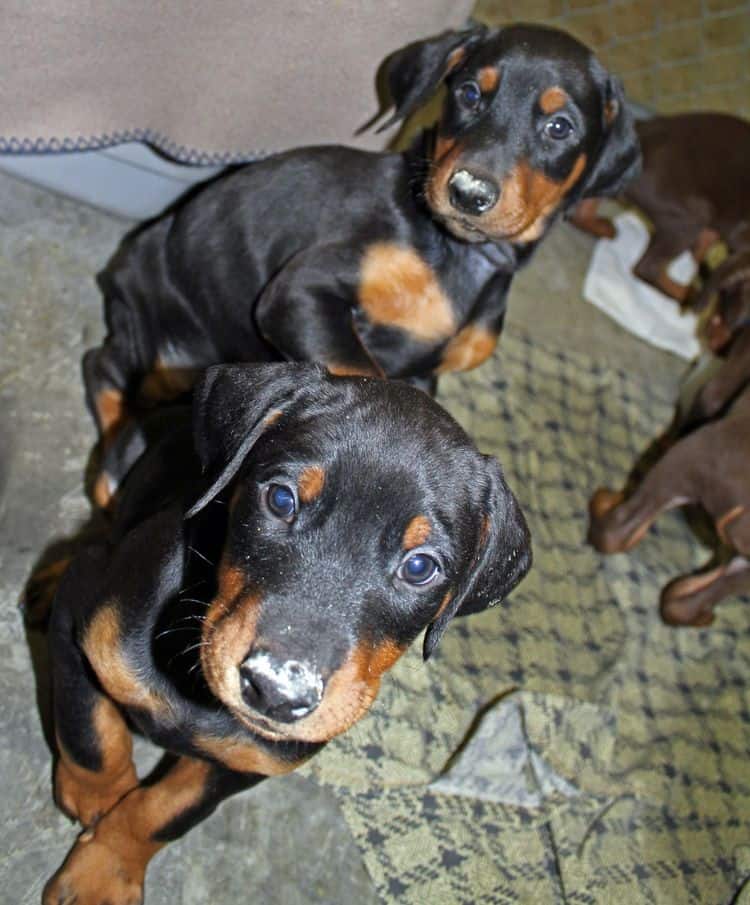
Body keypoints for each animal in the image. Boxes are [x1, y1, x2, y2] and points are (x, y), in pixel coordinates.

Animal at [42, 362, 536, 904]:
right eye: (281, 499)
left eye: (420, 567)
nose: (277, 692)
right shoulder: (83, 623)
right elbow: (91, 741)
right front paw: (97, 808)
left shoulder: (254, 758)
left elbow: (165, 811)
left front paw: (103, 868)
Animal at [86, 21, 640, 502]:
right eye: (468, 94)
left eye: (560, 127)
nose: (468, 192)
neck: (460, 256)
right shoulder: (301, 295)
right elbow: (363, 372)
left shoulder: (426, 371)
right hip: (156, 333)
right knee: (104, 367)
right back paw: (110, 477)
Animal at [592, 324, 750, 628]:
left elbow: (708, 398)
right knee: (684, 602)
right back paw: (701, 614)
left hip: (693, 455)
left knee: (617, 529)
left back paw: (604, 503)